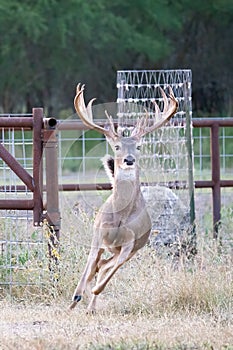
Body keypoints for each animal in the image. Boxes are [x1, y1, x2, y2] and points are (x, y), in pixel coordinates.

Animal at [69, 82, 178, 312]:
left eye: (139, 146)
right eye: (117, 146)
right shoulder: (98, 233)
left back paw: (91, 305)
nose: (129, 160)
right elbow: (89, 263)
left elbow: (109, 273)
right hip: (108, 245)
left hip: (129, 249)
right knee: (98, 263)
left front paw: (93, 290)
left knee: (105, 265)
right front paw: (76, 295)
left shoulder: (130, 243)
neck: (119, 217)